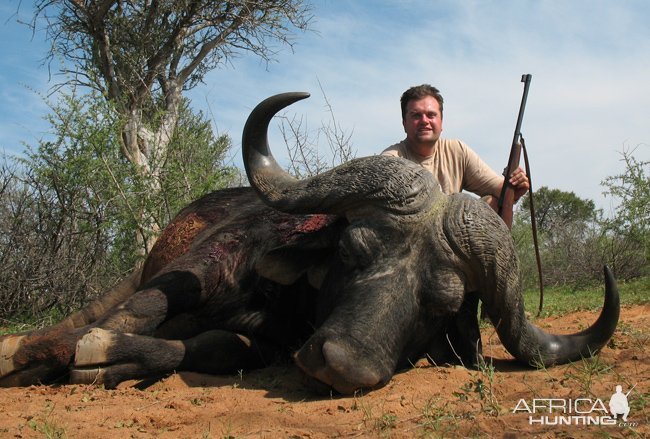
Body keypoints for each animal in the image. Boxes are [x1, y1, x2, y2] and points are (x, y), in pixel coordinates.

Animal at [0, 93, 616, 396]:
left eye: (443, 305)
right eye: (353, 250)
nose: (341, 365)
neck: (286, 298)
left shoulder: (264, 343)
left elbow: (215, 347)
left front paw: (110, 359)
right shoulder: (203, 267)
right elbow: (145, 307)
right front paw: (43, 353)